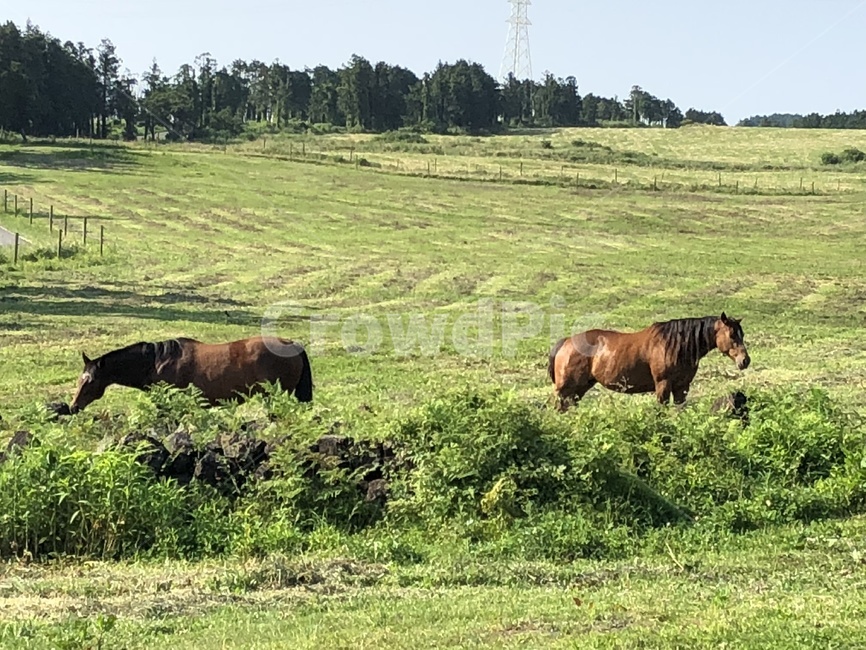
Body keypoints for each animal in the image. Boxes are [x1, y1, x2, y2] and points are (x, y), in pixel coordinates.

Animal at [547, 313, 750, 412]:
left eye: (742, 334)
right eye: (732, 334)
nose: (745, 360)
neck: (676, 345)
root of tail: (566, 342)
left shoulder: (682, 387)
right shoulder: (663, 384)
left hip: (578, 389)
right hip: (566, 389)